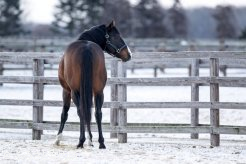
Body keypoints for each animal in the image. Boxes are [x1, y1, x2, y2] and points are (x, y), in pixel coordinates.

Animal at [54, 20, 132, 149]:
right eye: (116, 36)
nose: (129, 55)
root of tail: (86, 49)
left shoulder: (66, 90)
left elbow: (64, 114)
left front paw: (57, 139)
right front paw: (91, 139)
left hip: (75, 91)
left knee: (81, 111)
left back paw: (81, 141)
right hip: (99, 91)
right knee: (97, 113)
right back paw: (101, 143)